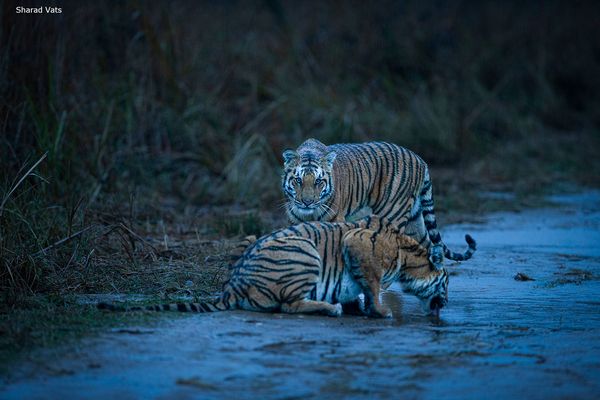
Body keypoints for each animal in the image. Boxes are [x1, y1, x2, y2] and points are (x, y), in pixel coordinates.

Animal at [97, 217, 474, 318]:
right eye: (447, 284)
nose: (447, 303)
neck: (408, 257)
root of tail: (232, 284)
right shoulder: (357, 245)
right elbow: (373, 285)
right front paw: (380, 312)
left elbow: (362, 289)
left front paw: (362, 307)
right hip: (304, 252)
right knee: (289, 306)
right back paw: (330, 308)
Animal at [282, 139, 478, 264]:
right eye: (298, 180)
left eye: (318, 182)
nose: (307, 202)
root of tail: (421, 160)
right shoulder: (294, 222)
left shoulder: (333, 221)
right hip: (415, 222)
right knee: (432, 249)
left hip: (393, 214)